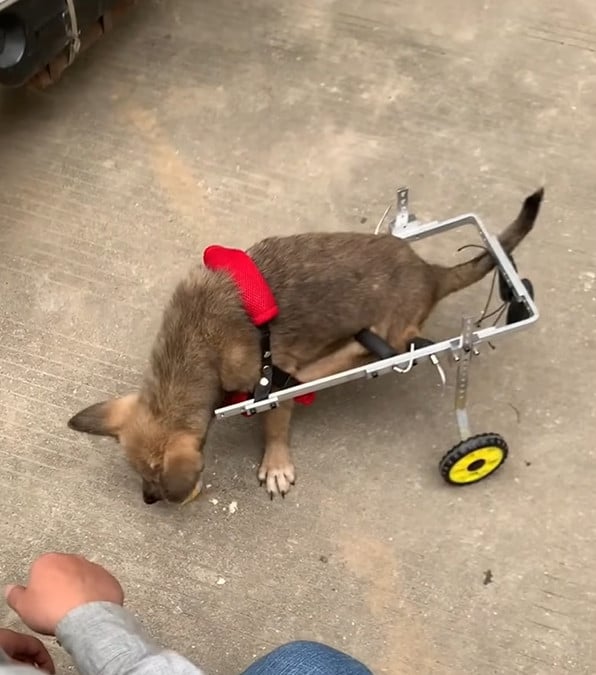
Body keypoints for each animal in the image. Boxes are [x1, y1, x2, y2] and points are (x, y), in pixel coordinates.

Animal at [67, 187, 544, 504]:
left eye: (158, 482)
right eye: (137, 473)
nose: (149, 500)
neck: (195, 343)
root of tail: (431, 273)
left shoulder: (268, 380)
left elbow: (275, 421)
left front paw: (276, 463)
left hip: (387, 331)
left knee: (374, 349)